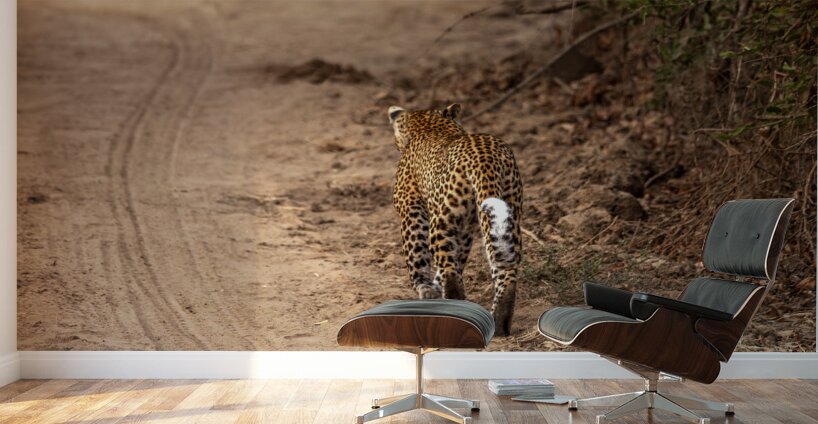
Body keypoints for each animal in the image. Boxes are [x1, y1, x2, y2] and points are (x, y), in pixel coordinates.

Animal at [388, 103, 523, 336]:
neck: (428, 124)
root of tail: (486, 158)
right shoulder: (466, 228)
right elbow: (458, 258)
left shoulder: (411, 210)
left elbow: (417, 258)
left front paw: (426, 289)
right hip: (509, 213)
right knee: (505, 268)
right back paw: (500, 322)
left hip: (443, 219)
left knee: (449, 268)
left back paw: (453, 306)